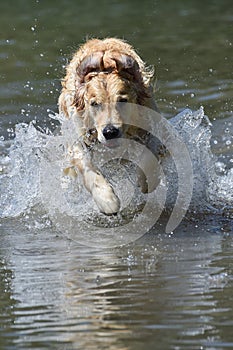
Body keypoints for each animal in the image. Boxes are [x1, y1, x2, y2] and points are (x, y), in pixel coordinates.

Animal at [58, 37, 158, 213]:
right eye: (94, 103)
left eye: (123, 100)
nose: (110, 132)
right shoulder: (77, 137)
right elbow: (87, 167)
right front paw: (107, 200)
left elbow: (149, 157)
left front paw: (145, 183)